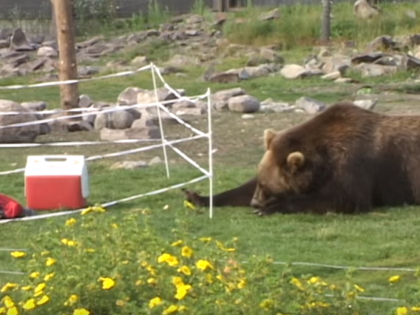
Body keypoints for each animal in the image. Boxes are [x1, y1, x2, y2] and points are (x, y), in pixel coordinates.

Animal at [183, 102, 420, 216]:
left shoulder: (353, 164)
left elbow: (342, 198)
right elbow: (240, 189)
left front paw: (268, 208)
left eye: (267, 186)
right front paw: (196, 196)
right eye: (261, 182)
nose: (254, 202)